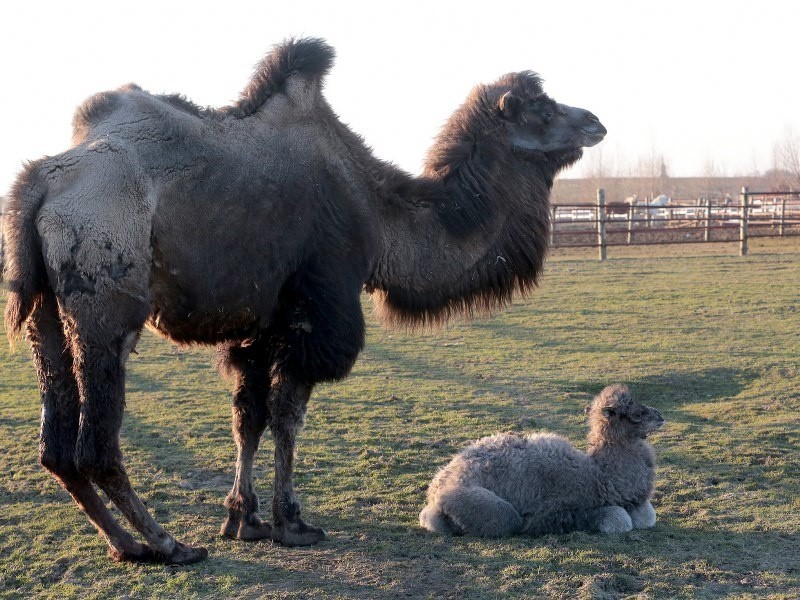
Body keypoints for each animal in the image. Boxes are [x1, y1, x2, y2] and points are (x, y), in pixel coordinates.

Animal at [1, 37, 608, 564]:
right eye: (542, 108)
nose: (597, 121)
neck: (379, 215)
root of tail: (39, 183)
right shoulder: (318, 313)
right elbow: (287, 417)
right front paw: (291, 522)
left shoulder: (260, 323)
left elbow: (247, 416)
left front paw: (243, 519)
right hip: (106, 297)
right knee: (96, 445)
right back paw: (168, 544)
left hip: (44, 311)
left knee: (57, 447)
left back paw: (128, 544)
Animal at [422, 386, 664, 536]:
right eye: (636, 414)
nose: (660, 417)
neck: (599, 475)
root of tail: (435, 488)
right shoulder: (568, 508)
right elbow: (619, 520)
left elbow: (647, 515)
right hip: (477, 503)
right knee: (506, 519)